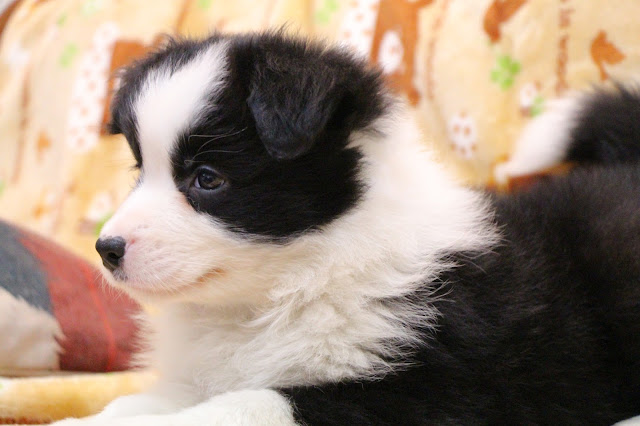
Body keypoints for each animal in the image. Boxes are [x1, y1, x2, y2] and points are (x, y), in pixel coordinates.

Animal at [54, 32, 640, 425]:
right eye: (139, 170)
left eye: (207, 179)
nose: (106, 249)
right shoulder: (198, 372)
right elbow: (133, 401)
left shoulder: (428, 386)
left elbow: (253, 401)